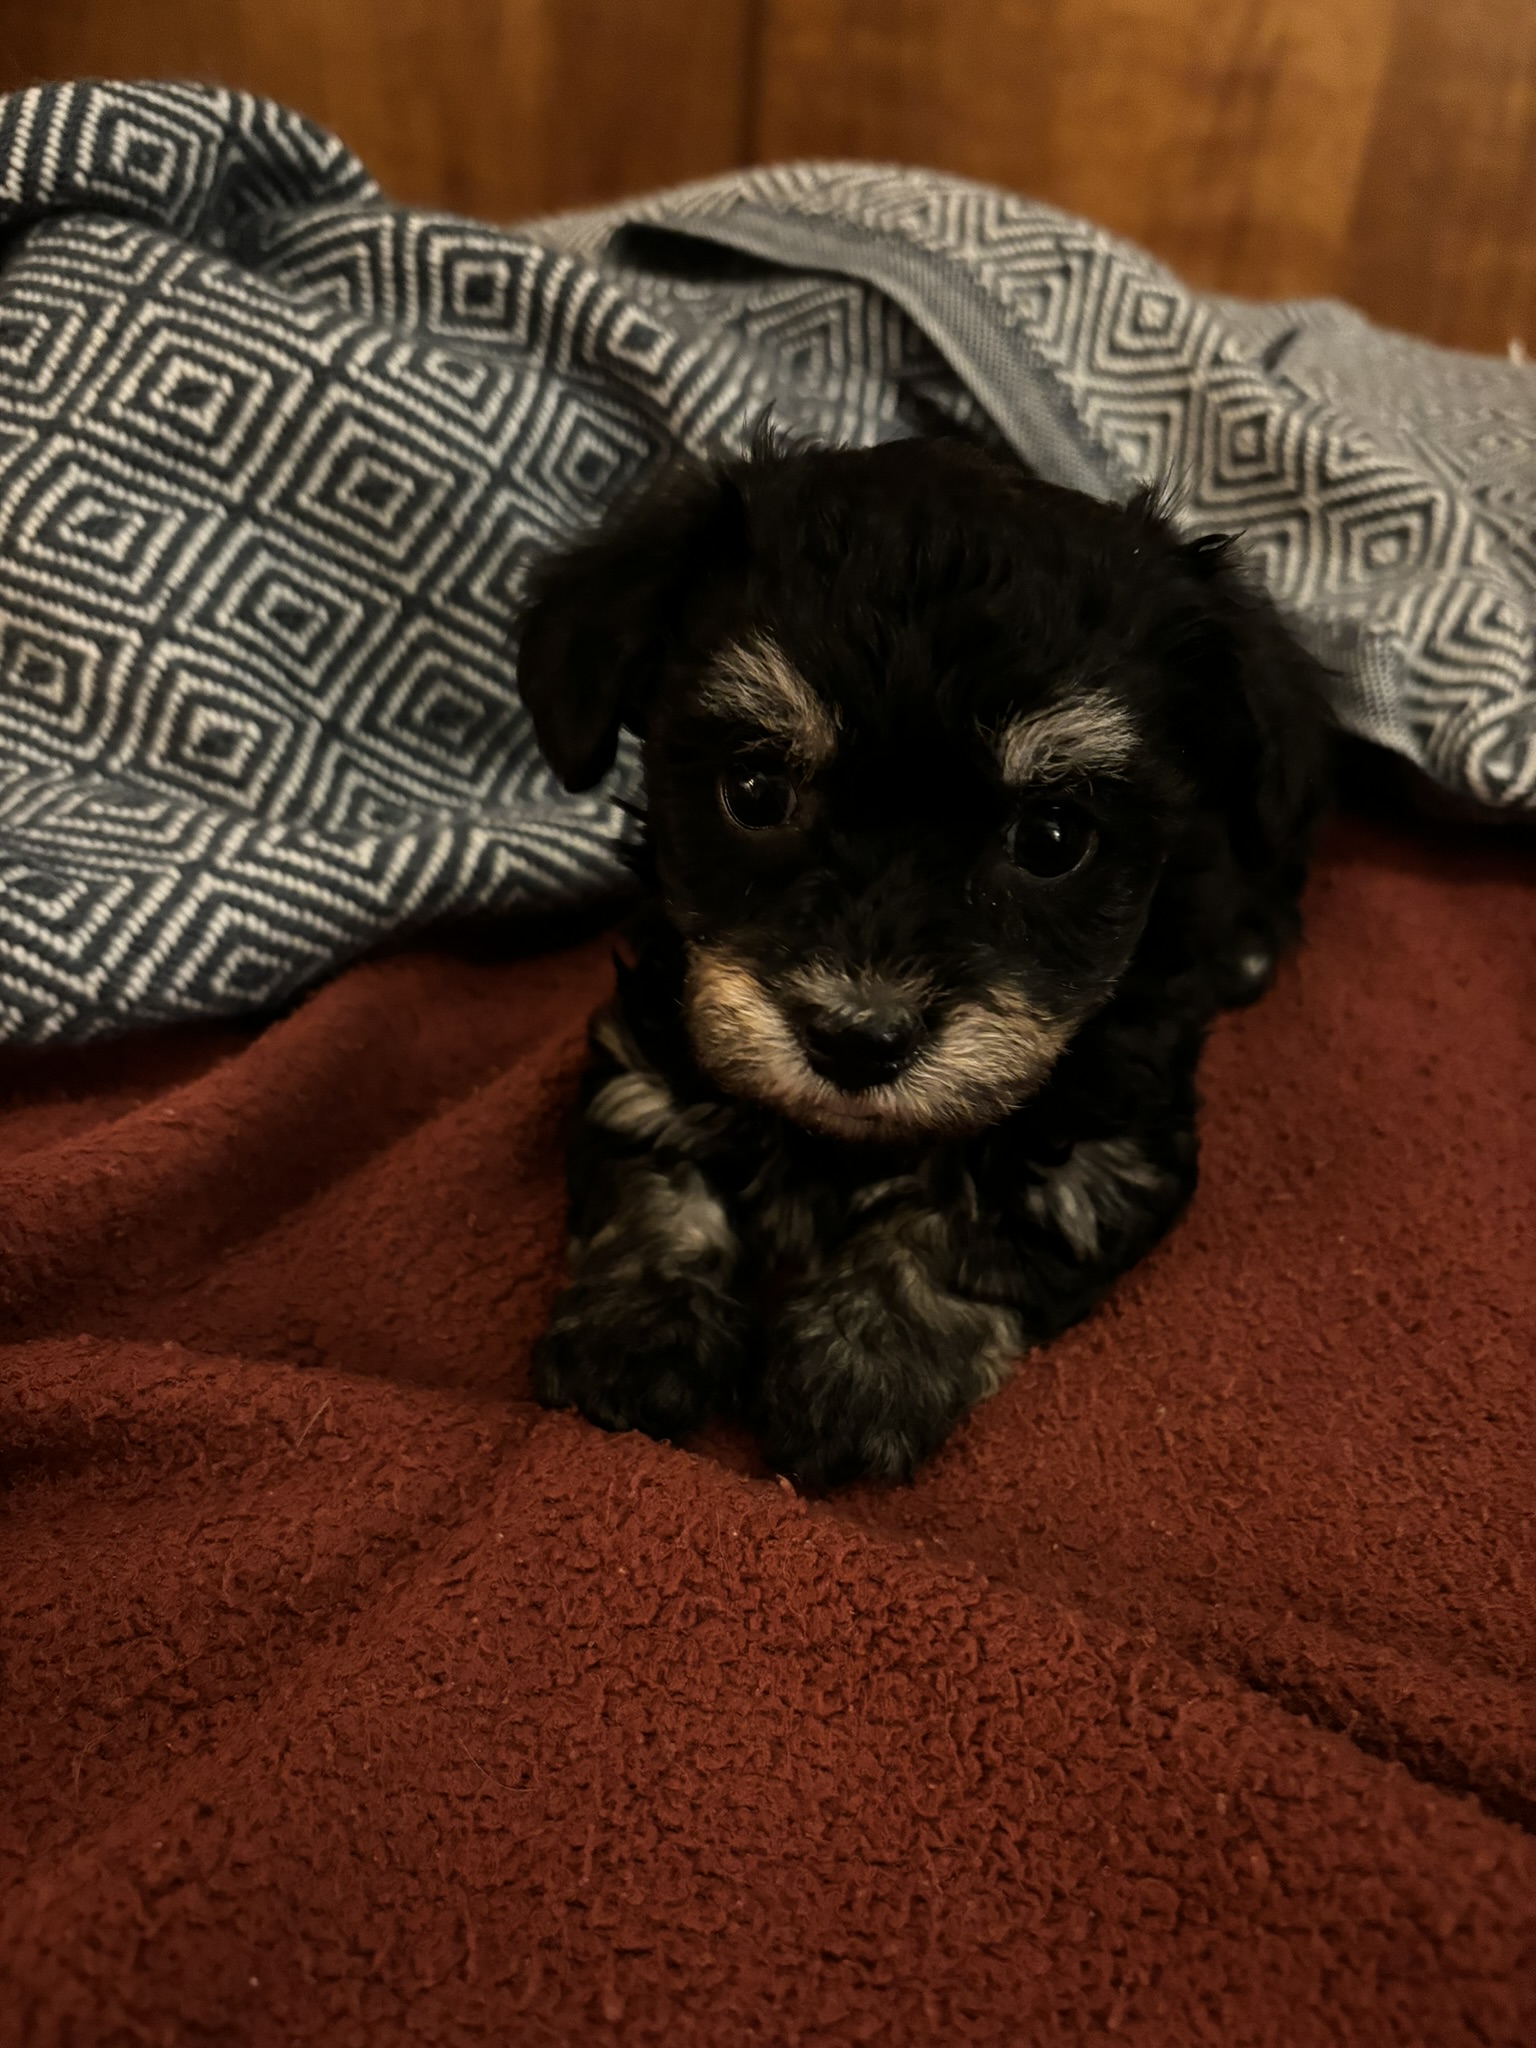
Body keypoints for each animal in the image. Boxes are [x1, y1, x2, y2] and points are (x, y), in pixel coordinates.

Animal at [518, 436, 1335, 1490]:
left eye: (1054, 838)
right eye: (754, 789)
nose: (856, 1041)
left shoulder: (1105, 1143)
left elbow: (976, 1219)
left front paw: (862, 1365)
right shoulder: (651, 1047)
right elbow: (650, 1168)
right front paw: (634, 1328)